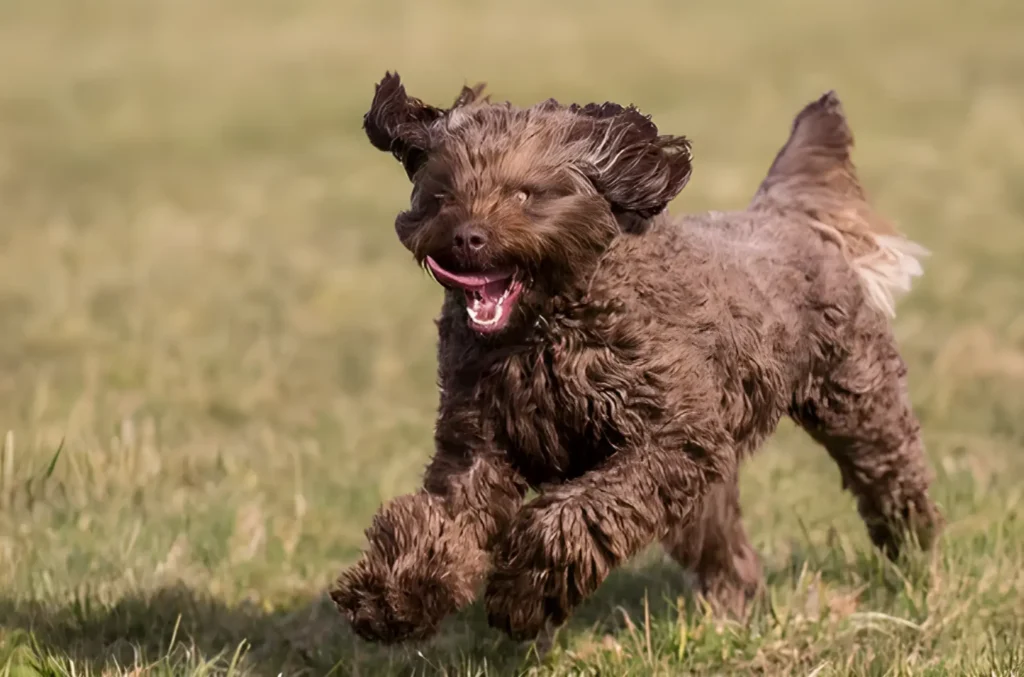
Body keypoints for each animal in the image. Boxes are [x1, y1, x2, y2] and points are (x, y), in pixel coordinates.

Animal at [329, 71, 942, 643]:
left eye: (526, 194)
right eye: (441, 196)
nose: (466, 238)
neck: (541, 333)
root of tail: (786, 214)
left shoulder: (670, 440)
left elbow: (575, 514)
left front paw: (524, 594)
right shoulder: (478, 445)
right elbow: (438, 521)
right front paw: (393, 598)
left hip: (856, 399)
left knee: (892, 478)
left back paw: (915, 557)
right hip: (708, 486)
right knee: (728, 552)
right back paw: (730, 614)